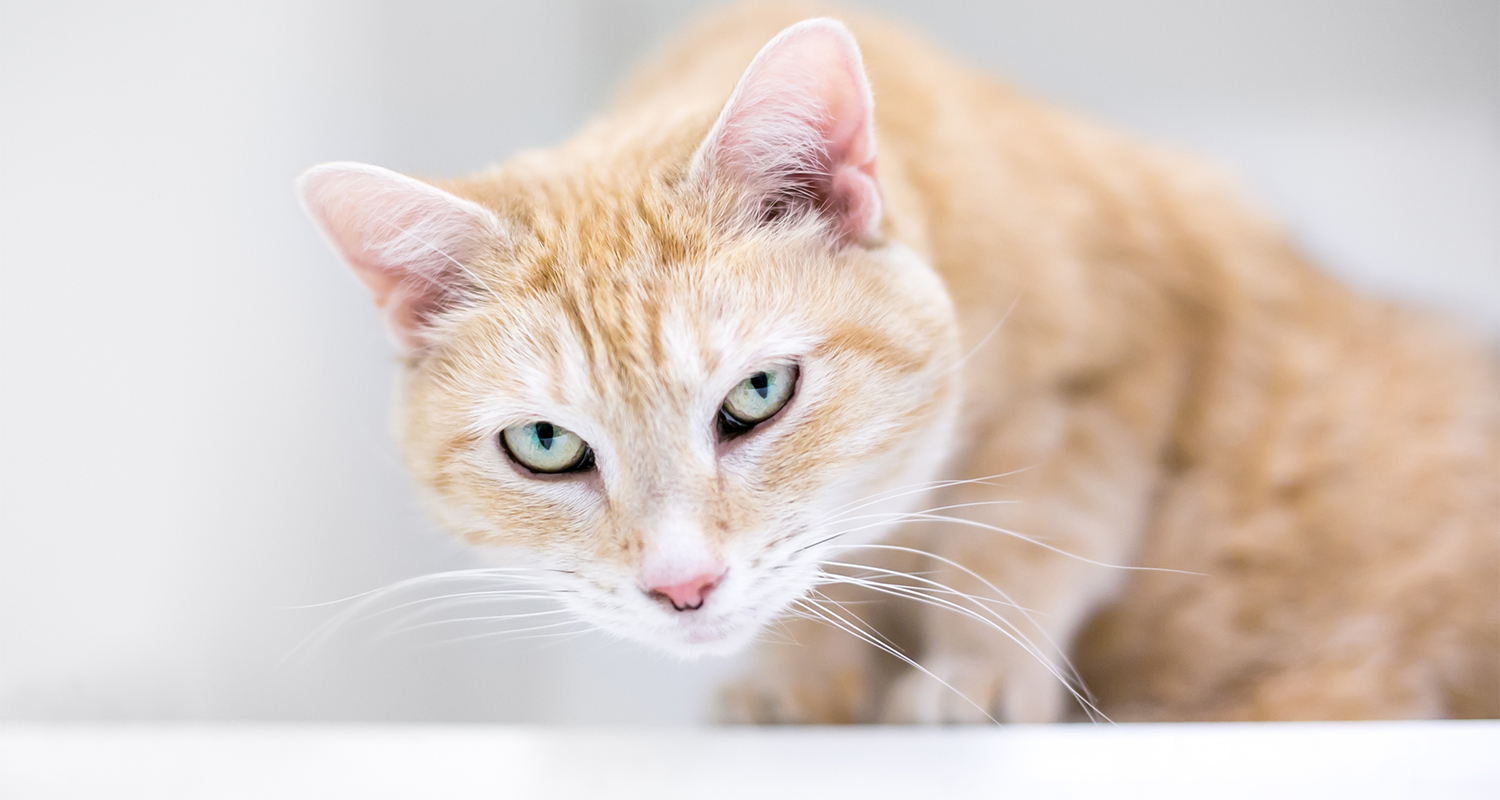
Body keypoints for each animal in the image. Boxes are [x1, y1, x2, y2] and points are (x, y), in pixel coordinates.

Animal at [295, 1, 1500, 723]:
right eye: (546, 444)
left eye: (757, 394)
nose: (682, 587)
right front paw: (794, 682)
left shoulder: (1119, 355)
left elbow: (1022, 534)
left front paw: (970, 674)